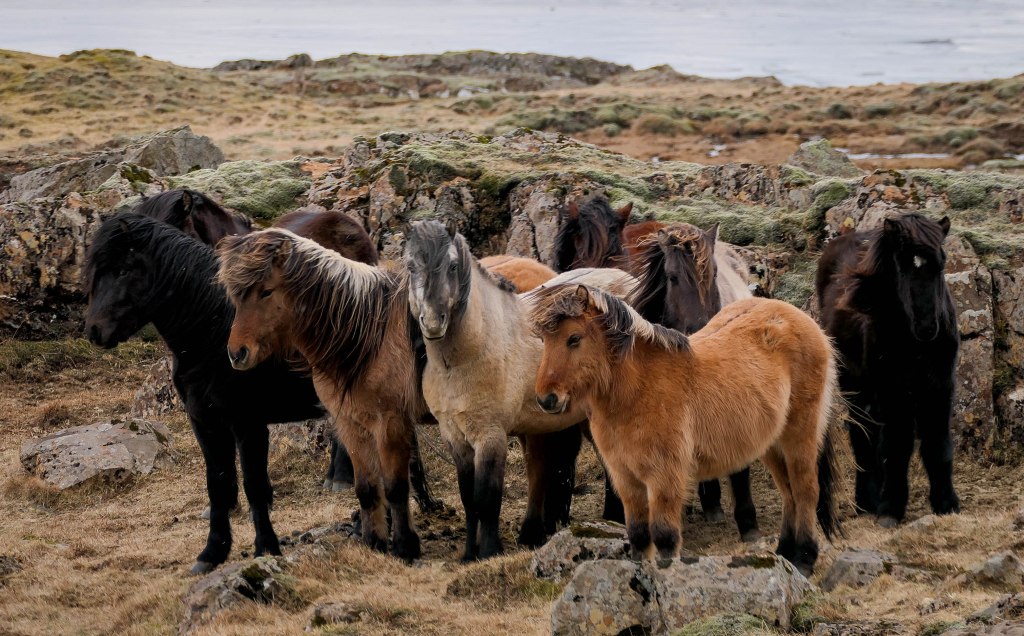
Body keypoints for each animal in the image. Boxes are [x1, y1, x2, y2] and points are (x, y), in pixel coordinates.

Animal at [83, 213, 325, 574]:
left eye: (124, 270)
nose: (95, 331)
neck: (214, 333)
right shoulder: (206, 424)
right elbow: (219, 485)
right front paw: (212, 553)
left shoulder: (248, 425)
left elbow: (254, 486)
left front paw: (266, 548)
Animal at [404, 220, 637, 559]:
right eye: (410, 266)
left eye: (452, 266)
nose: (433, 323)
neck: (467, 357)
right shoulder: (455, 437)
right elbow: (469, 499)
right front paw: (469, 554)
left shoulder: (491, 437)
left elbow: (487, 499)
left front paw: (489, 551)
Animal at [530, 285, 841, 575]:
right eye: (544, 340)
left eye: (574, 339)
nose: (546, 400)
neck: (638, 391)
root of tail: (802, 319)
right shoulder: (626, 480)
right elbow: (639, 536)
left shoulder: (665, 478)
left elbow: (664, 537)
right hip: (771, 443)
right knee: (788, 493)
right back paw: (785, 552)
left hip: (799, 434)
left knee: (805, 490)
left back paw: (805, 559)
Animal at [816, 213, 960, 527]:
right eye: (902, 267)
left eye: (941, 264)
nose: (927, 327)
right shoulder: (894, 391)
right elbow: (897, 446)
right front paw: (891, 508)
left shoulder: (940, 386)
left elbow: (938, 445)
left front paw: (947, 504)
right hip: (857, 385)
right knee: (864, 435)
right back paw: (868, 500)